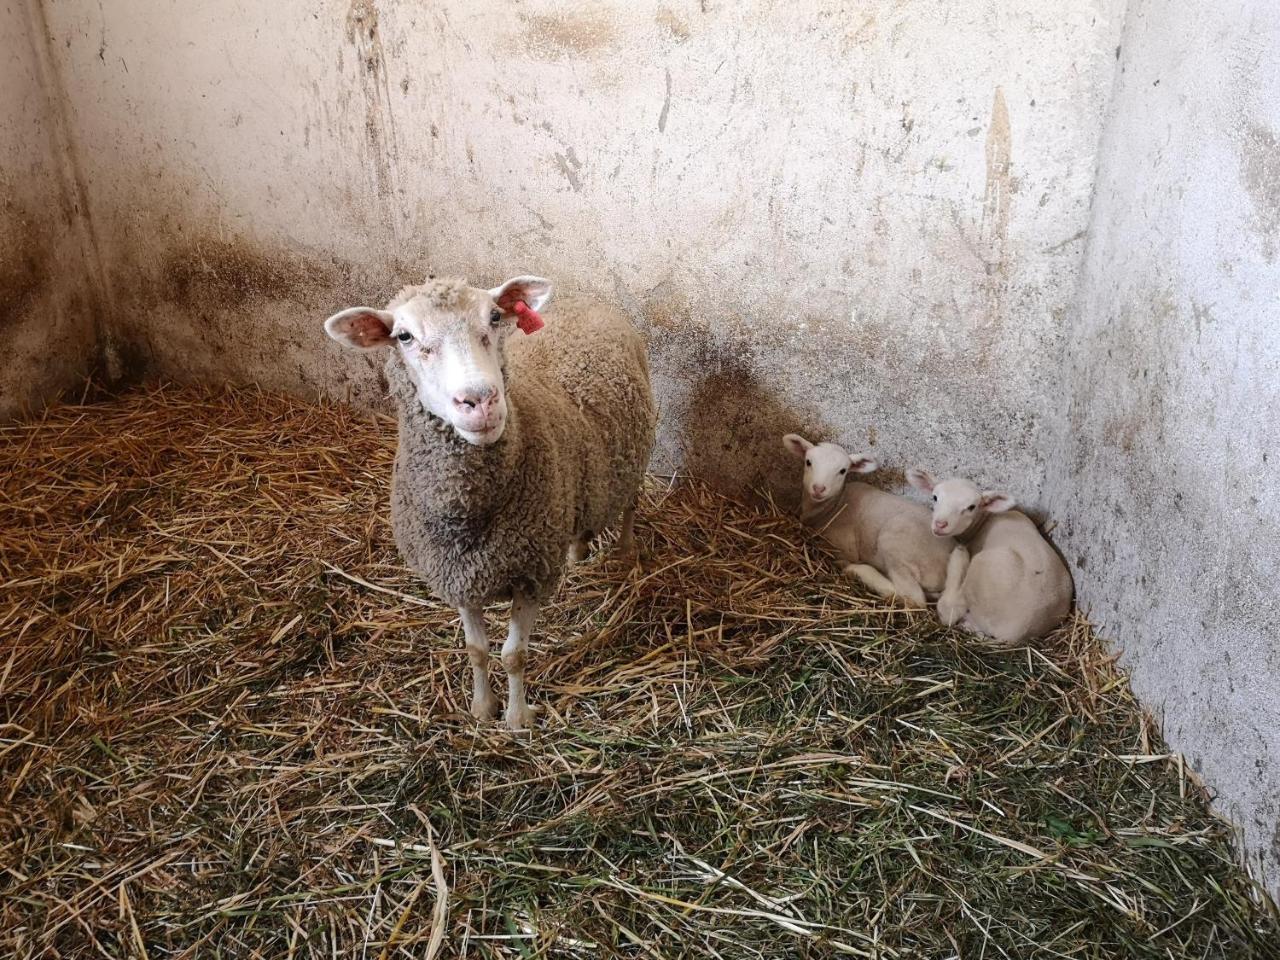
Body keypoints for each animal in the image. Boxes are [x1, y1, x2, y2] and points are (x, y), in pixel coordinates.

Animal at [325, 273, 660, 732]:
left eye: (495, 317)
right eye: (404, 336)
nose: (480, 401)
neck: (469, 518)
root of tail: (585, 298)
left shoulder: (531, 574)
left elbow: (513, 655)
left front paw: (518, 718)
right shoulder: (458, 575)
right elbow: (477, 650)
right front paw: (482, 708)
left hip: (635, 453)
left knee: (630, 505)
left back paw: (626, 550)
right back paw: (577, 554)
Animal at [783, 435, 957, 609]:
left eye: (842, 471)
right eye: (808, 462)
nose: (818, 489)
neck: (833, 507)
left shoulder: (844, 548)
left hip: (895, 540)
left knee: (913, 598)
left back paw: (857, 571)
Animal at [906, 471, 1075, 650]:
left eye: (971, 507)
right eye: (935, 497)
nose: (940, 524)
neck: (983, 520)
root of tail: (1012, 633)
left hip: (982, 566)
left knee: (950, 612)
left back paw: (959, 558)